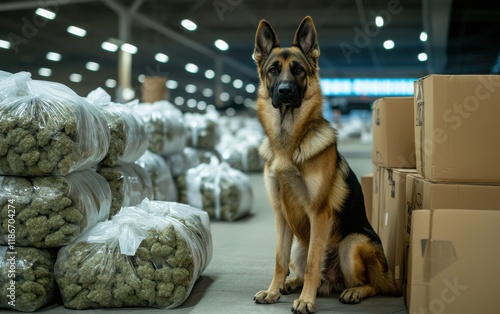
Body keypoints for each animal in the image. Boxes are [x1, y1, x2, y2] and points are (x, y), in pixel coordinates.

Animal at [252, 17, 400, 314]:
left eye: (298, 70)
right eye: (274, 70)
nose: (285, 91)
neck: (289, 142)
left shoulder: (318, 213)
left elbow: (312, 263)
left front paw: (306, 301)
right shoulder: (281, 216)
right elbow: (279, 259)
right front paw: (273, 291)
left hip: (352, 244)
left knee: (370, 285)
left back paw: (352, 291)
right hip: (300, 245)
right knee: (308, 271)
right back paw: (291, 284)